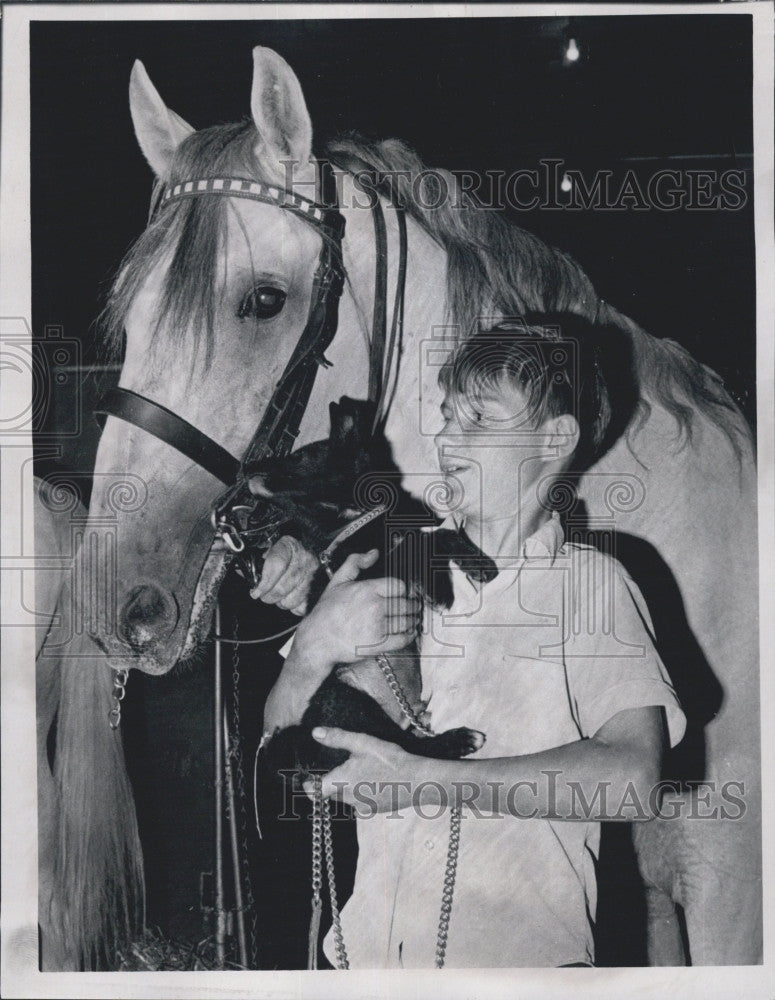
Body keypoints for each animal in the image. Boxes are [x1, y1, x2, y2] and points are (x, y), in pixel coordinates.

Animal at [249, 398, 498, 780]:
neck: (356, 517)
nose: (249, 465)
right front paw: (439, 587)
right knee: (405, 747)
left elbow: (436, 534)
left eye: (300, 456)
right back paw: (459, 740)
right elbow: (424, 540)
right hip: (348, 698)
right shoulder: (374, 569)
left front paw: (477, 562)